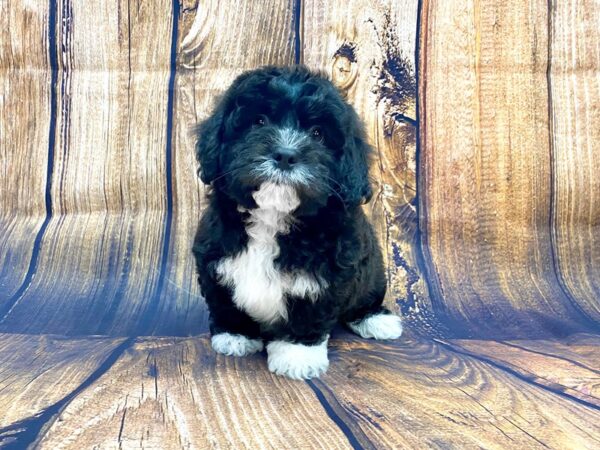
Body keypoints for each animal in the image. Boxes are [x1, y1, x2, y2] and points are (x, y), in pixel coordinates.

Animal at [192, 65, 404, 378]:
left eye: (318, 133)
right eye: (258, 121)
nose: (286, 154)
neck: (273, 217)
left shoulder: (328, 276)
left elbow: (308, 313)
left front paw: (297, 355)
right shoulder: (214, 261)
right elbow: (225, 301)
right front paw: (235, 335)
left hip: (374, 272)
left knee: (366, 298)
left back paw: (376, 319)